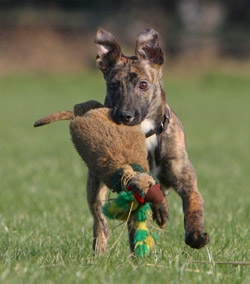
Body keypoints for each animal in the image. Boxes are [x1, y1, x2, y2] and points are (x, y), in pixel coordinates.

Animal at [33, 27, 209, 254]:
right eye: (114, 85)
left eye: (143, 85)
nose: (125, 116)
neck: (146, 133)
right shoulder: (132, 185)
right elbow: (134, 223)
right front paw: (140, 253)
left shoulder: (185, 178)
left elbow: (193, 205)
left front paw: (196, 235)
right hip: (94, 185)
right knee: (100, 221)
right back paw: (100, 250)